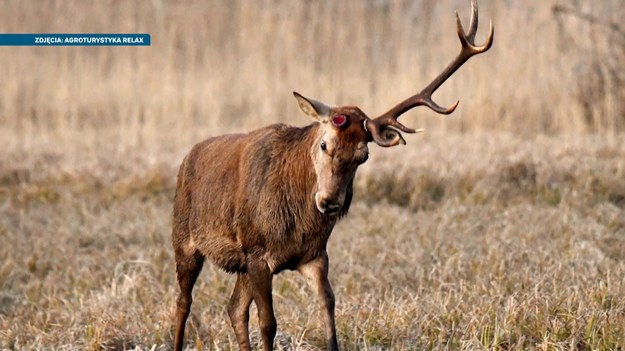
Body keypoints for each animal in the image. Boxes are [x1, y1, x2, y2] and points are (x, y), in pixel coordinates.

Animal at [171, 1, 492, 350]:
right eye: (324, 144)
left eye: (363, 156)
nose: (329, 202)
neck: (296, 221)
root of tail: (187, 158)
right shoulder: (258, 252)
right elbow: (268, 323)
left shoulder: (314, 255)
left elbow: (328, 305)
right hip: (184, 240)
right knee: (183, 302)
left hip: (238, 263)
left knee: (233, 308)